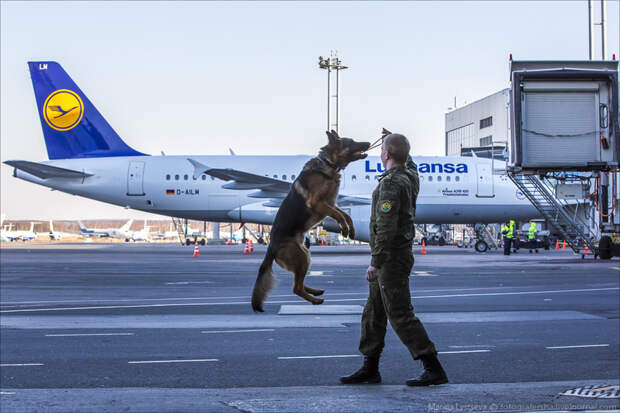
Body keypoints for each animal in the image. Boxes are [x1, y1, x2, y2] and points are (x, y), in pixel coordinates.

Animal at [251, 130, 370, 310]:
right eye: (351, 141)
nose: (369, 143)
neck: (328, 164)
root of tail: (271, 248)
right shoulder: (318, 203)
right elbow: (340, 216)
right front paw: (344, 228)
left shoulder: (330, 204)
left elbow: (346, 215)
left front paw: (351, 229)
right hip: (302, 257)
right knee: (296, 287)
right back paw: (314, 299)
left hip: (305, 255)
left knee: (298, 283)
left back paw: (314, 292)